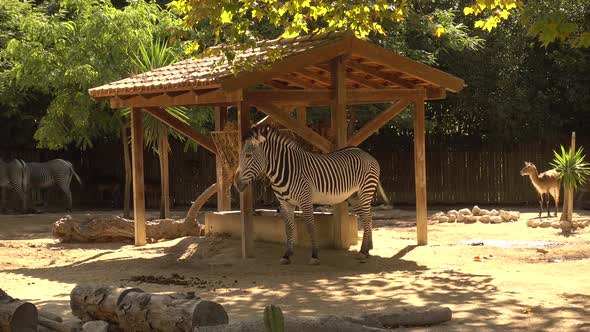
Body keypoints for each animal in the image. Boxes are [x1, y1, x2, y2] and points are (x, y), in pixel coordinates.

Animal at [234, 126, 382, 266]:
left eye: (248, 155)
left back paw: (363, 251)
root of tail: (366, 154)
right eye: (240, 155)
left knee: (367, 217)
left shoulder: (305, 200)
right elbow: (288, 229)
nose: (236, 183)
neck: (286, 170)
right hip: (354, 196)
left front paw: (315, 256)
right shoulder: (284, 203)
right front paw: (287, 255)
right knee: (367, 217)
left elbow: (311, 227)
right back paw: (367, 249)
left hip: (365, 192)